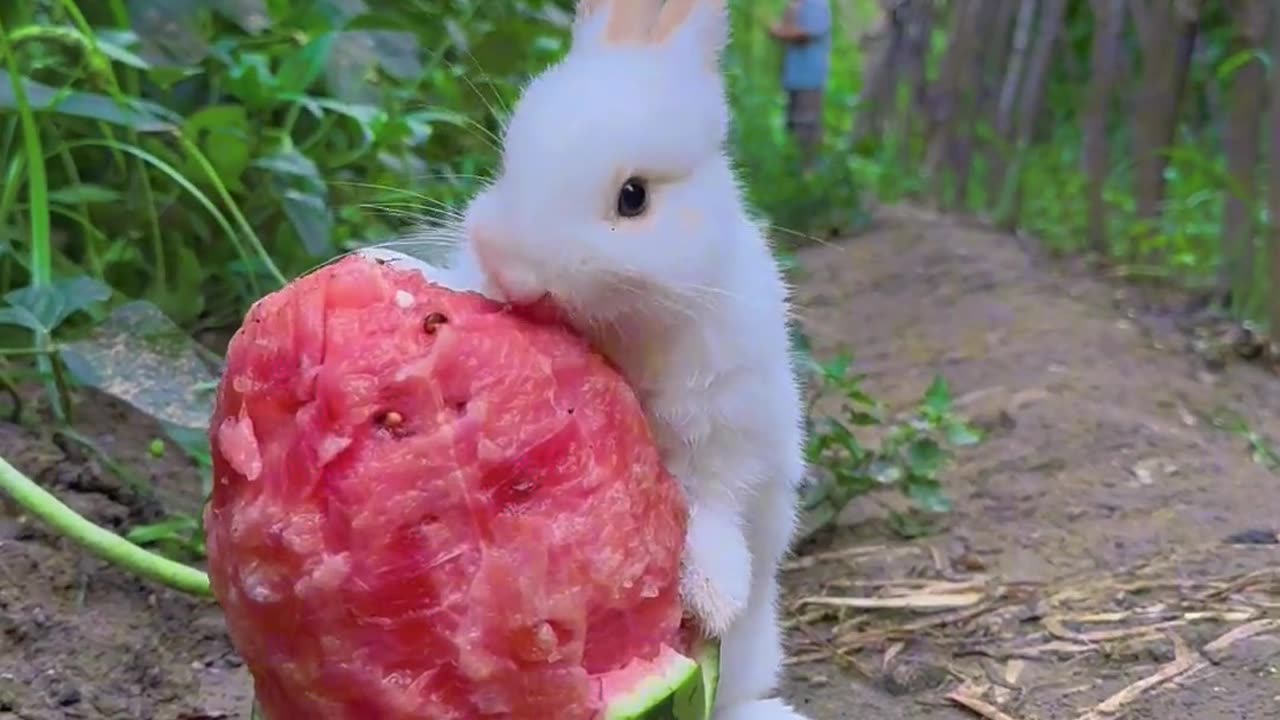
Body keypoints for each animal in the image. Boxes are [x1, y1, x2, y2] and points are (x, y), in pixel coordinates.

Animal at [360, 2, 808, 712]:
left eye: (634, 197)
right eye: (508, 162)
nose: (514, 273)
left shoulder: (728, 429)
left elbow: (713, 505)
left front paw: (713, 598)